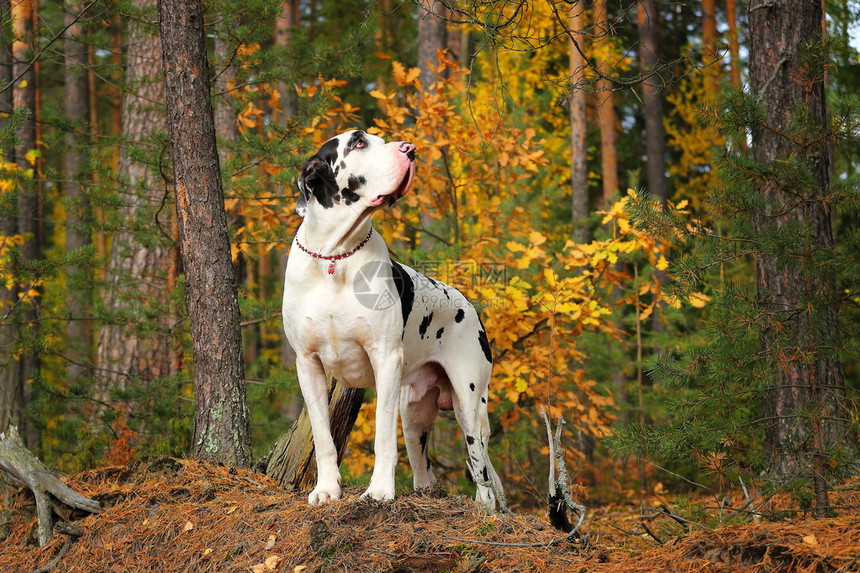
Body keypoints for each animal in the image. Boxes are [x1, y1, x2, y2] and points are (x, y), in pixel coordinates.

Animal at [284, 131, 504, 510]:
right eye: (358, 143)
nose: (411, 149)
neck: (335, 256)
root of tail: (469, 305)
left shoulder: (385, 358)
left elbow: (383, 436)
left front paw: (380, 492)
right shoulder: (307, 364)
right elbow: (323, 437)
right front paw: (326, 490)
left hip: (469, 404)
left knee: (482, 471)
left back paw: (484, 509)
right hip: (414, 414)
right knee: (424, 470)